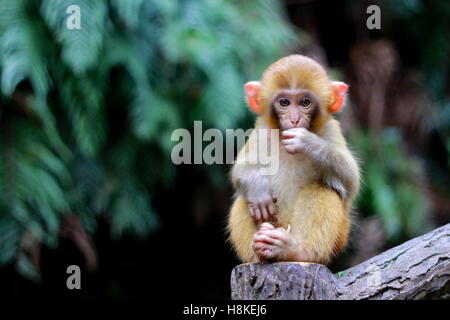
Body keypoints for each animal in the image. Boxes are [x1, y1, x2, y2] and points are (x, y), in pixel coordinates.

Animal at [227, 54, 360, 264]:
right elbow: (240, 169)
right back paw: (259, 252)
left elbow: (351, 181)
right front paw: (258, 188)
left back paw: (295, 250)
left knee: (324, 188)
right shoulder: (262, 130)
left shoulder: (331, 129)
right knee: (244, 199)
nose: (295, 119)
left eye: (305, 102)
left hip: (339, 237)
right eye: (284, 103)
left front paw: (307, 142)